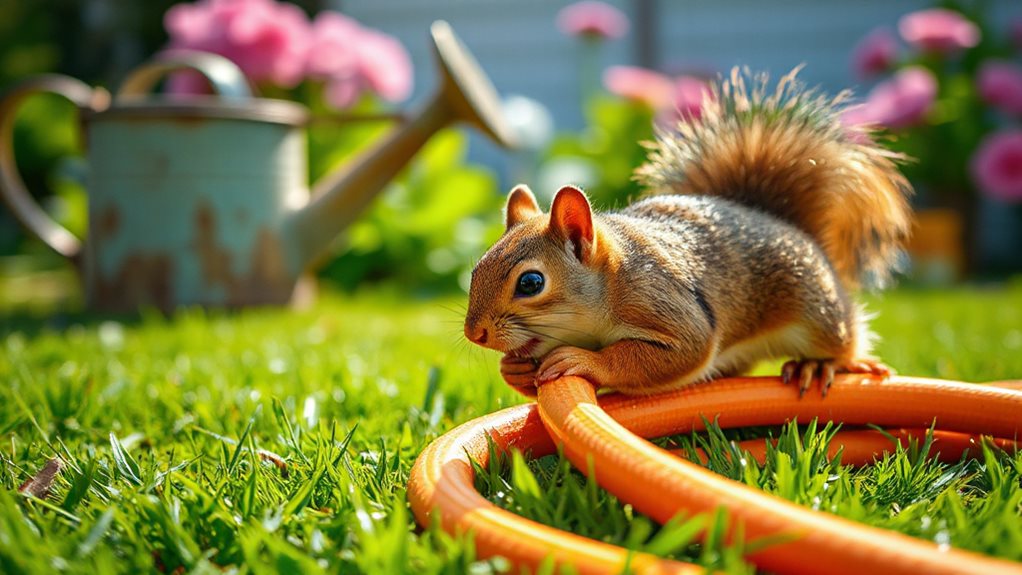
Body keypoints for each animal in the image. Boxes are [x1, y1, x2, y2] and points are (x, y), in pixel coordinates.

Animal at [464, 68, 912, 397]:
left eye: (531, 283)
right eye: (475, 270)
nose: (475, 333)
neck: (613, 280)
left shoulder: (664, 304)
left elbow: (675, 353)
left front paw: (587, 362)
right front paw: (514, 370)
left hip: (819, 312)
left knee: (843, 340)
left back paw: (820, 365)